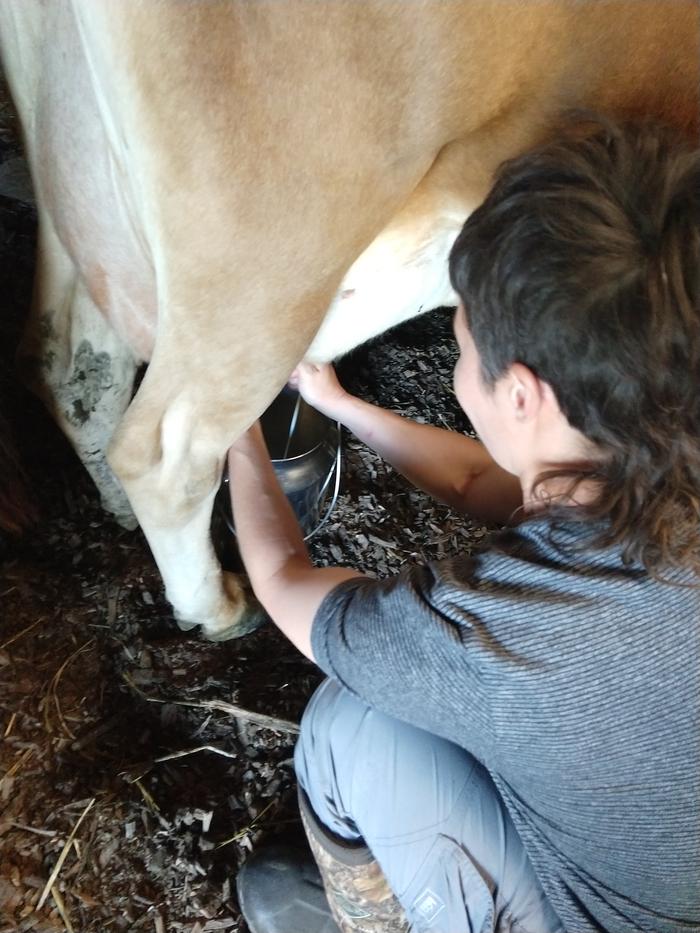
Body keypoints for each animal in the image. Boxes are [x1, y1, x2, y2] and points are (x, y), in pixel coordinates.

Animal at [0, 0, 696, 640]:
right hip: (269, 255)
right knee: (167, 451)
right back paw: (218, 608)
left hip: (77, 189)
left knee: (67, 366)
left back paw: (117, 509)